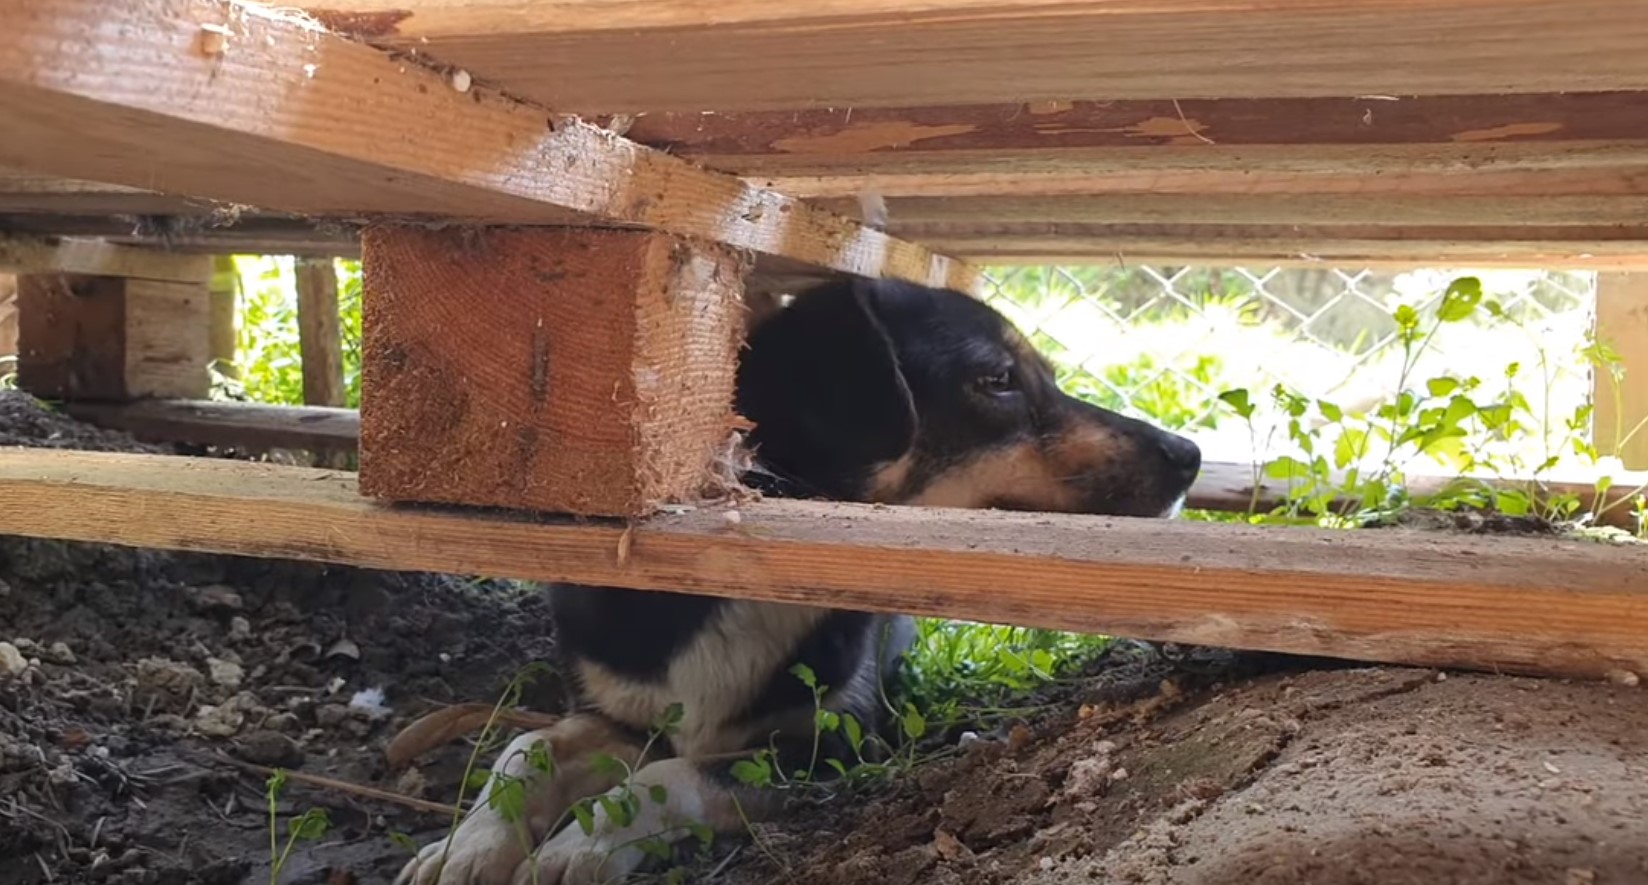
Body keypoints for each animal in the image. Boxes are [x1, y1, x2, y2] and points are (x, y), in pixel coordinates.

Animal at [398, 278, 1199, 883]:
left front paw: (580, 843)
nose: (1188, 454)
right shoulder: (618, 717)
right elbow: (524, 751)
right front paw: (465, 846)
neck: (737, 583)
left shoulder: (831, 744)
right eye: (998, 379)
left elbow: (670, 777)